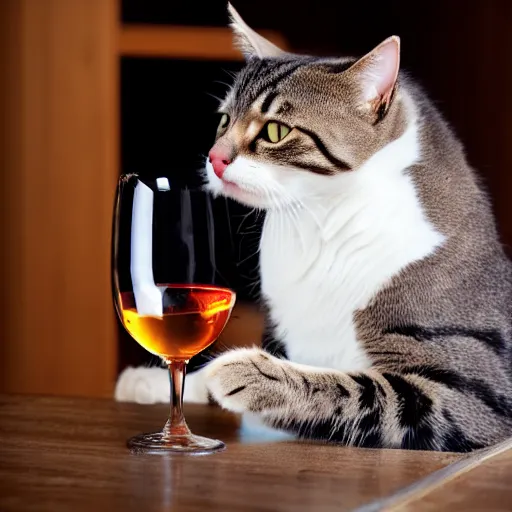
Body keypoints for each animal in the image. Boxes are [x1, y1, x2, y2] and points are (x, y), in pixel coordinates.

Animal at [116, 4, 512, 452]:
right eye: (223, 121)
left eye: (275, 130)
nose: (214, 158)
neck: (317, 221)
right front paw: (151, 380)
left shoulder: (472, 397)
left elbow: (359, 390)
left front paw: (245, 372)